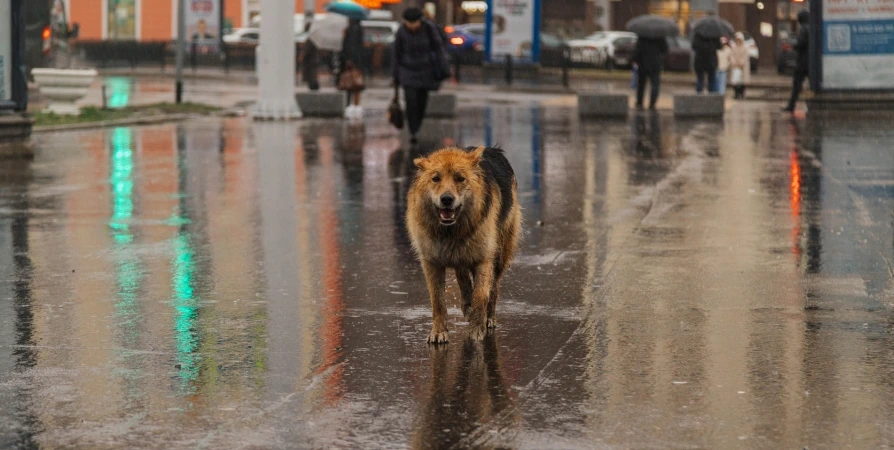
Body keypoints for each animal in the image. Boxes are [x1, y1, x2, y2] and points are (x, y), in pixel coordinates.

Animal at [408, 146, 524, 342]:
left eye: (460, 178)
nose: (447, 199)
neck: (451, 232)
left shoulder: (484, 259)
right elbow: (438, 301)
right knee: (462, 276)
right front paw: (439, 331)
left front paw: (477, 329)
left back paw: (489, 317)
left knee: (493, 287)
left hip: (500, 254)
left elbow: (481, 295)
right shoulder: (432, 262)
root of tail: (494, 149)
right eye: (435, 178)